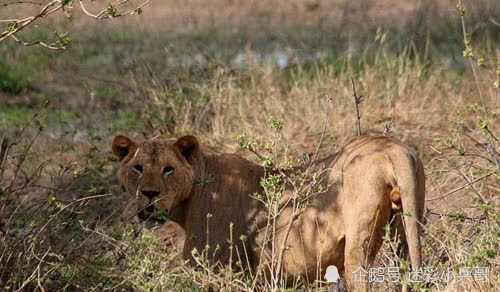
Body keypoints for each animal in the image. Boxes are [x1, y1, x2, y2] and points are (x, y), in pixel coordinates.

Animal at [111, 135, 424, 290]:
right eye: (138, 168)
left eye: (168, 169)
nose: (149, 194)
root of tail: (392, 146)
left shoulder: (217, 268)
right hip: (407, 226)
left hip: (359, 242)